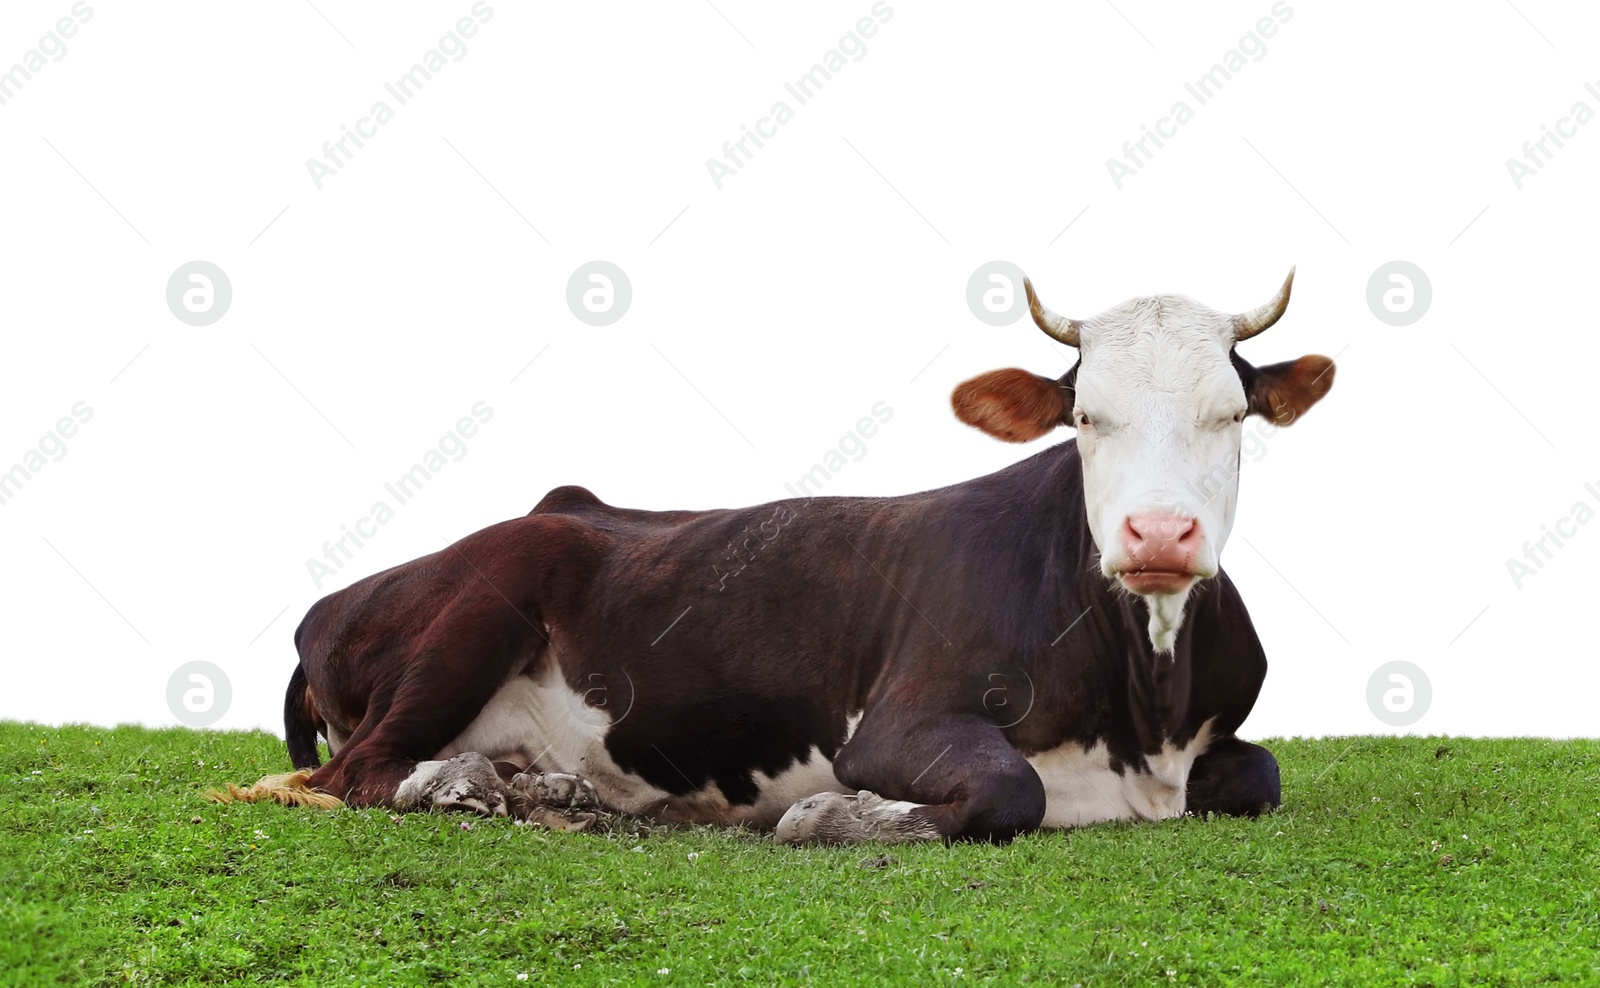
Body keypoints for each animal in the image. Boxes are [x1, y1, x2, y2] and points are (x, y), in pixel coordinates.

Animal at [219, 266, 1331, 837]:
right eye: (1086, 417)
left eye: (1231, 413)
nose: (1158, 534)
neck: (1144, 717)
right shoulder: (894, 720)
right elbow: (1006, 790)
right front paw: (836, 815)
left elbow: (1259, 773)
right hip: (482, 599)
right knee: (353, 771)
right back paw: (463, 789)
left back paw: (543, 789)